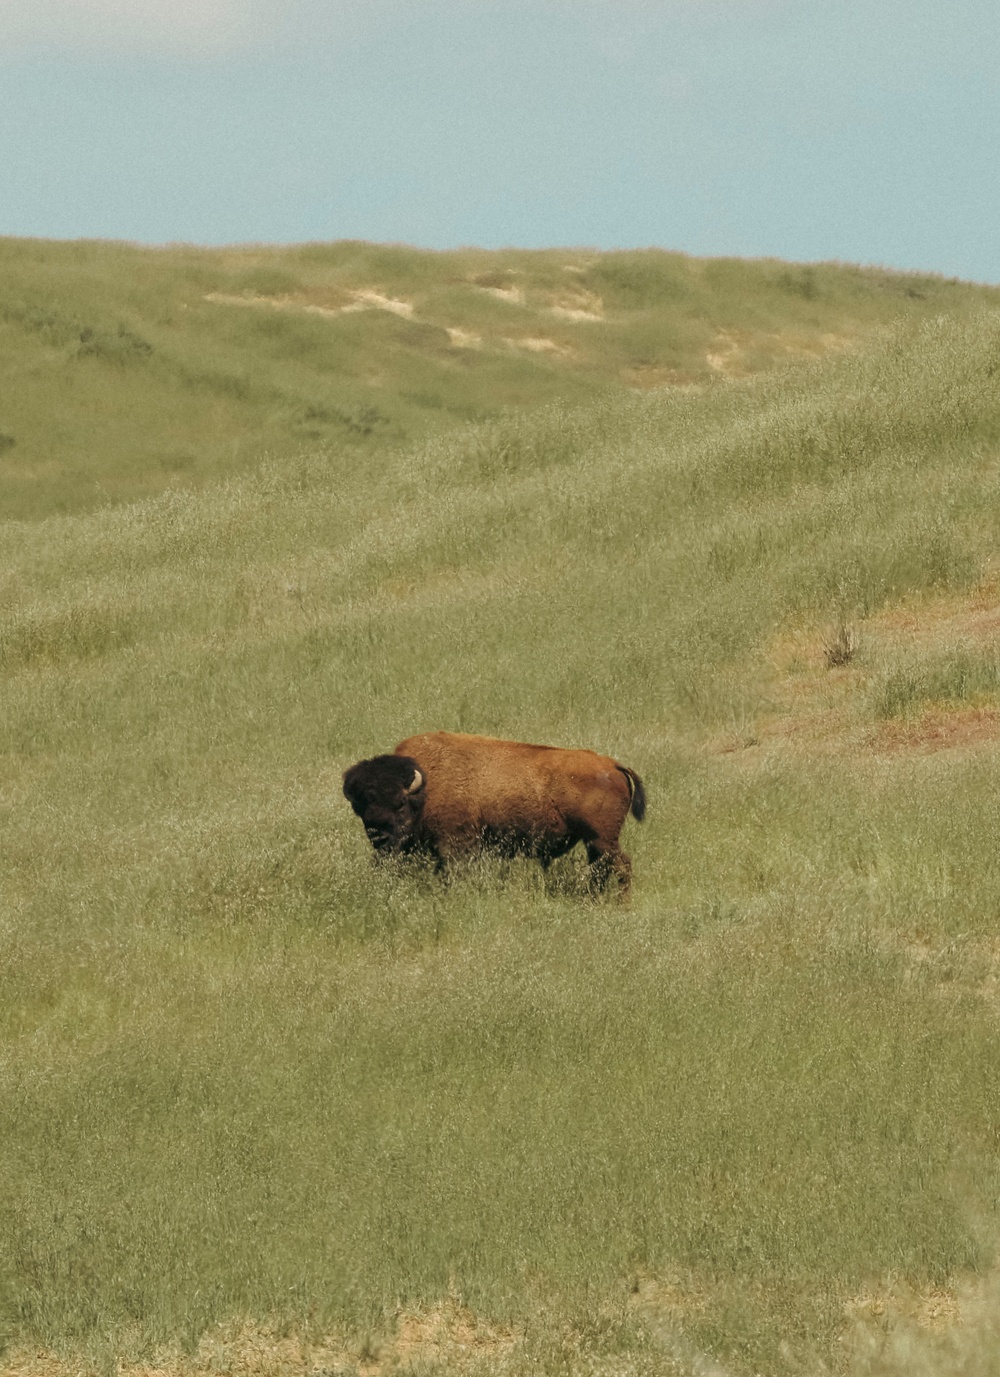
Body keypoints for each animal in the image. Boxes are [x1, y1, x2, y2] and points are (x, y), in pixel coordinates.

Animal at [344, 732, 650, 892]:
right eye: (361, 807)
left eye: (400, 804)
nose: (378, 836)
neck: (427, 786)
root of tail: (611, 764)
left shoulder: (455, 845)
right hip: (594, 841)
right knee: (601, 867)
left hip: (602, 838)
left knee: (622, 864)